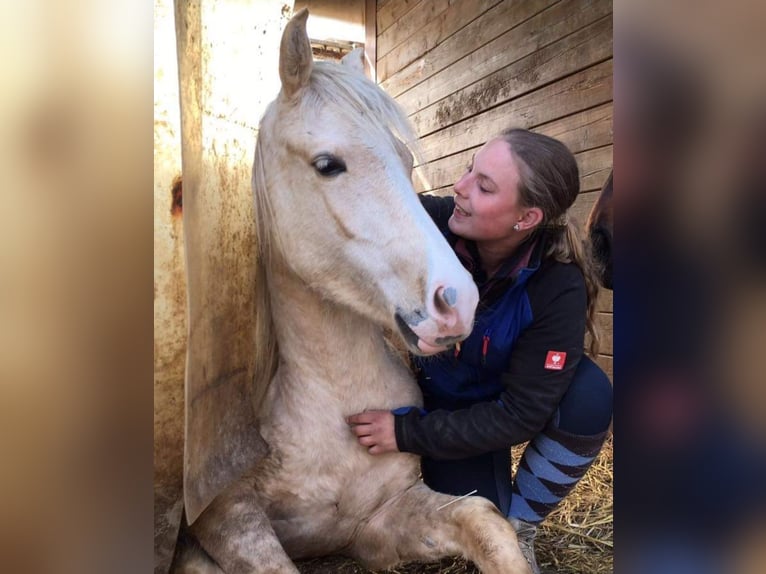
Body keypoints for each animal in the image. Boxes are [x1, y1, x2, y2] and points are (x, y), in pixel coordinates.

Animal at [173, 9, 532, 574]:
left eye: (405, 160)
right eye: (327, 164)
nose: (457, 302)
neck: (332, 401)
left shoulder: (381, 519)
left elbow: (486, 522)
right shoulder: (227, 522)